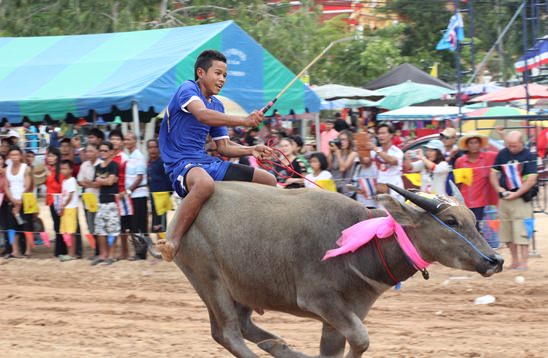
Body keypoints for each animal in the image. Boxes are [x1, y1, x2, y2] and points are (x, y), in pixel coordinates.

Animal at [168, 182, 506, 358]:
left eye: (472, 218)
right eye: (451, 221)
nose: (495, 260)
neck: (363, 243)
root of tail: (180, 214)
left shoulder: (342, 315)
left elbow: (337, 349)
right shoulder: (321, 301)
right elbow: (361, 340)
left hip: (245, 288)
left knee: (240, 327)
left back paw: (277, 345)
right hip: (209, 280)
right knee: (228, 333)